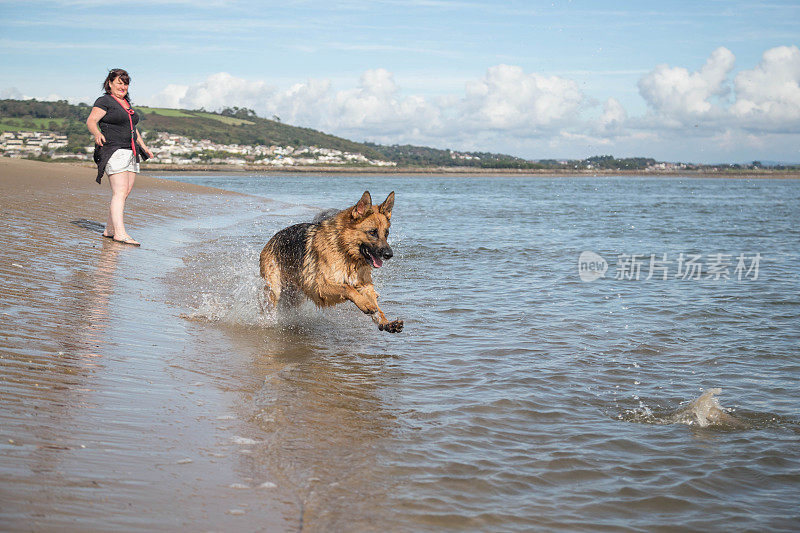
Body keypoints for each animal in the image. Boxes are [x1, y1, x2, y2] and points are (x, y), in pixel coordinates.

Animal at [260, 191, 404, 332]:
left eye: (386, 233)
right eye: (373, 232)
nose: (389, 254)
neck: (345, 251)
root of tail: (272, 239)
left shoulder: (364, 286)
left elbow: (377, 308)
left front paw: (385, 322)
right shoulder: (320, 287)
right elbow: (348, 288)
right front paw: (364, 304)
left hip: (294, 295)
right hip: (274, 290)